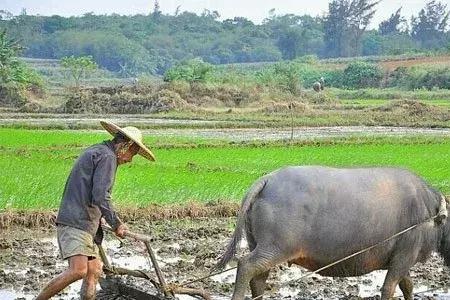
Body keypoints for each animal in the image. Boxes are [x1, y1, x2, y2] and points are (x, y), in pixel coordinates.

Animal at [216, 166, 448, 300]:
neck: (431, 213)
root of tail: (267, 180)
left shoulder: (402, 259)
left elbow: (407, 285)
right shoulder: (405, 255)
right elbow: (389, 287)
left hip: (259, 244)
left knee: (258, 277)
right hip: (275, 247)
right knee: (246, 266)